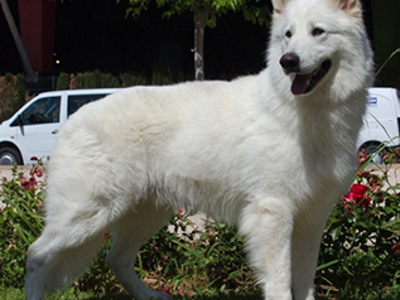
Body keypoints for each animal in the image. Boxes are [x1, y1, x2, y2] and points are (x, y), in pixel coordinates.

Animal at [26, 0, 374, 300]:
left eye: (318, 31)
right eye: (288, 35)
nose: (287, 61)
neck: (307, 112)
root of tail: (71, 120)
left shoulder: (311, 220)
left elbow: (303, 281)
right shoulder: (273, 213)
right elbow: (279, 282)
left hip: (144, 215)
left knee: (116, 260)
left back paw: (148, 295)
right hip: (87, 214)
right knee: (36, 255)